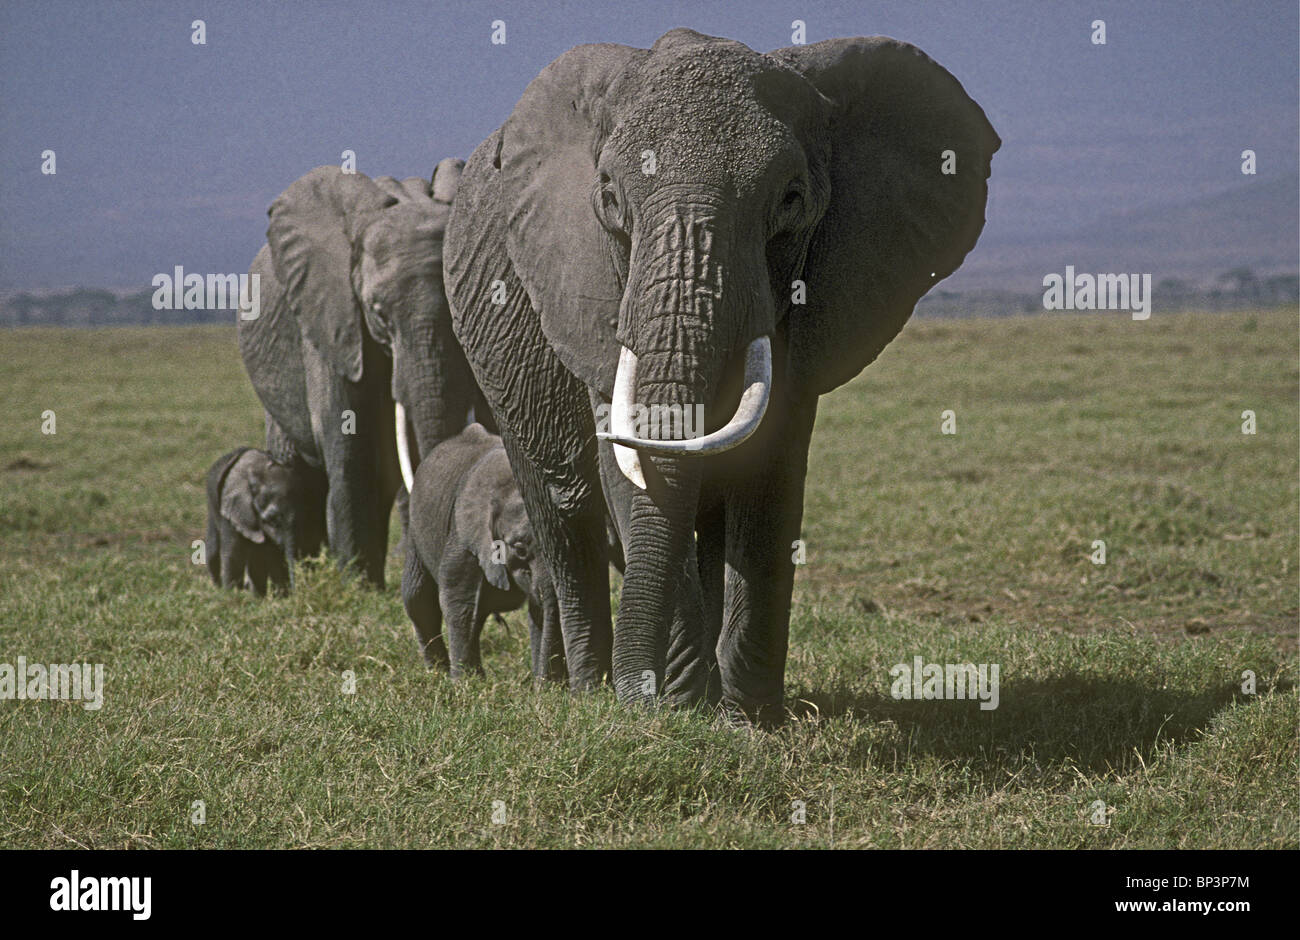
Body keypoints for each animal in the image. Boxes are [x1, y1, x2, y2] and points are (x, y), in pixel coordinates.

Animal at [206, 449, 310, 595]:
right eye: (272, 521)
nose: (295, 593)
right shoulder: (231, 510)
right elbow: (233, 554)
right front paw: (231, 595)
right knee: (213, 550)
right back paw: (217, 587)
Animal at [441, 29, 998, 722]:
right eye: (609, 199)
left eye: (790, 199)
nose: (640, 701)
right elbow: (629, 466)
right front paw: (673, 714)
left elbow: (770, 471)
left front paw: (748, 721)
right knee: (563, 513)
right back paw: (585, 690)